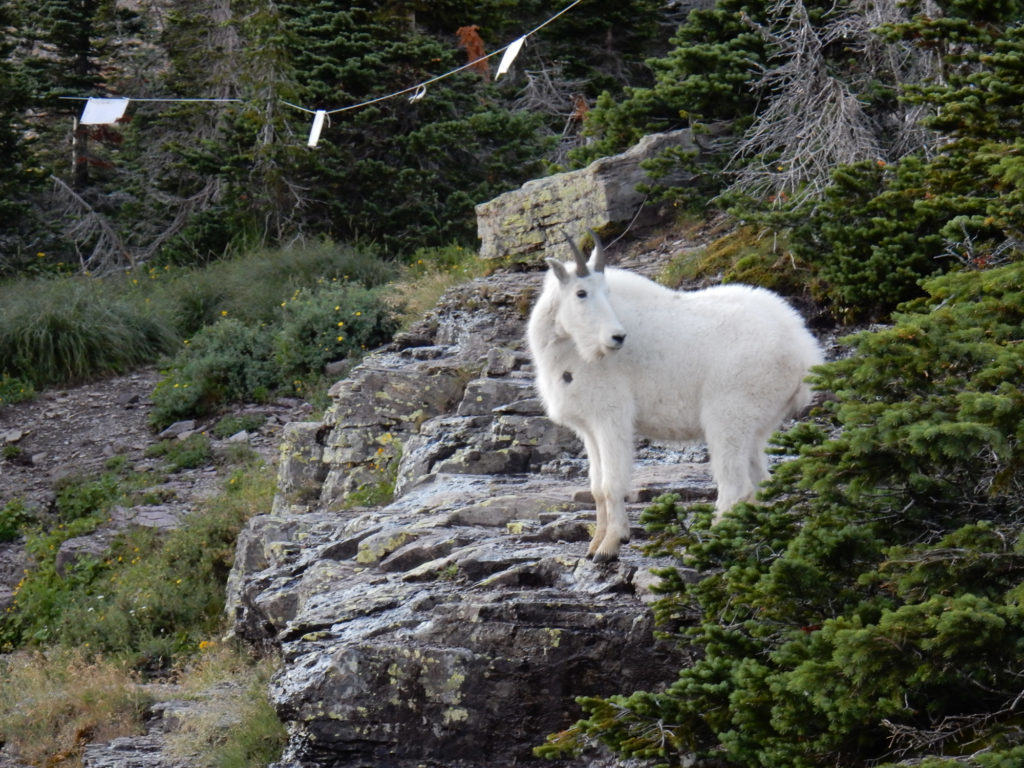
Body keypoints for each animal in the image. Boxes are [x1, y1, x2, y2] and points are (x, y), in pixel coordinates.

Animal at [528, 231, 823, 561]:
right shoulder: (589, 427)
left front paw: (610, 545)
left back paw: (713, 541)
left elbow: (611, 484)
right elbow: (595, 486)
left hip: (729, 415)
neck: (570, 349)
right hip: (758, 423)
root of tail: (803, 350)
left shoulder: (611, 417)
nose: (617, 337)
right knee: (761, 481)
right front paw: (594, 545)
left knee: (735, 486)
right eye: (581, 293)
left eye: (606, 291)